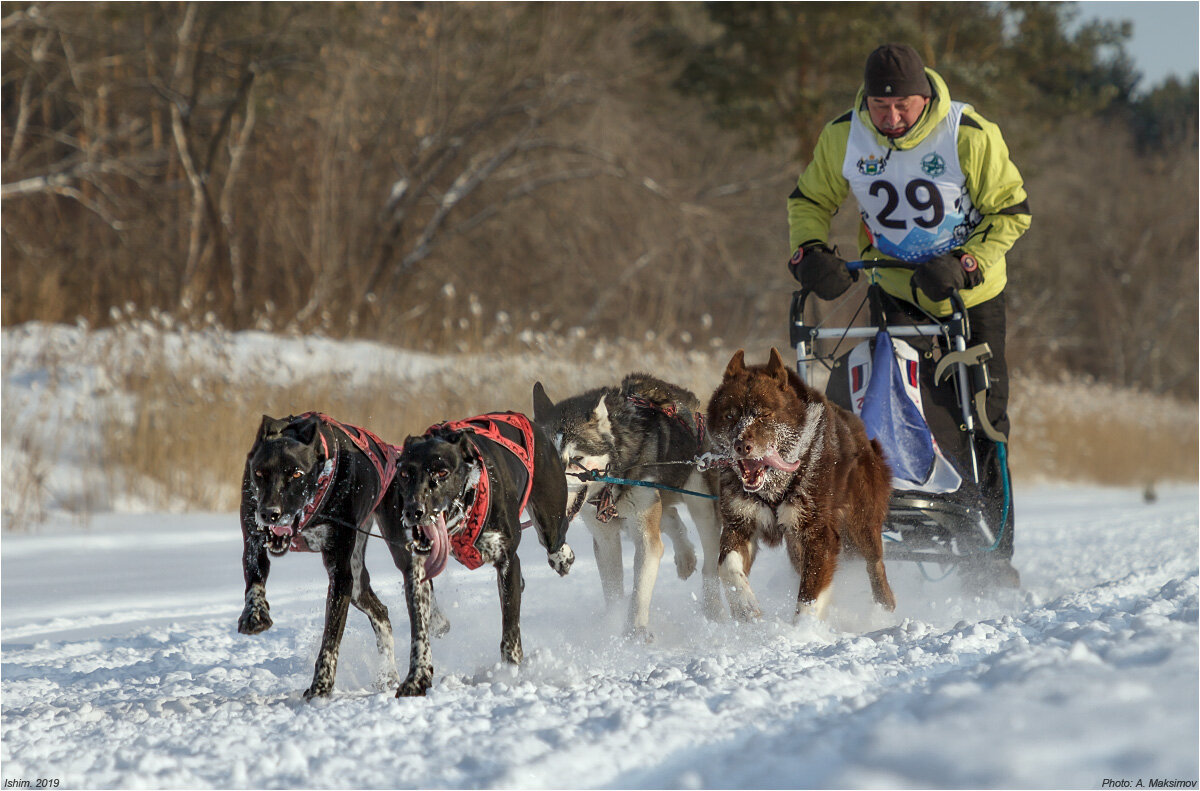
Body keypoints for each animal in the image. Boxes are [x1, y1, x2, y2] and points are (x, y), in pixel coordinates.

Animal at [238, 415, 451, 700]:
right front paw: (254, 614)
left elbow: (330, 640)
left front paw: (321, 686)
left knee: (421, 584)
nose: (270, 513)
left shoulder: (340, 574)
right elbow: (254, 579)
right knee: (381, 614)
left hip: (396, 553)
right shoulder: (253, 538)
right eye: (259, 473)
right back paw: (387, 674)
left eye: (296, 473)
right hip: (358, 584)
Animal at [381, 410, 573, 696]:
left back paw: (564, 557)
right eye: (404, 473)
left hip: (550, 519)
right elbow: (419, 633)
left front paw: (510, 673)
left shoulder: (507, 560)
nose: (413, 511)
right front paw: (417, 678)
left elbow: (510, 630)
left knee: (555, 543)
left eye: (442, 471)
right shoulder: (416, 572)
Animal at [705, 350, 897, 624]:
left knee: (876, 565)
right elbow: (726, 567)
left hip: (861, 526)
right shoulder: (739, 524)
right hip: (797, 546)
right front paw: (745, 607)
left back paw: (884, 612)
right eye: (730, 415)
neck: (773, 485)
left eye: (764, 414)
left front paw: (802, 629)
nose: (741, 445)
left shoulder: (818, 534)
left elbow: (809, 594)